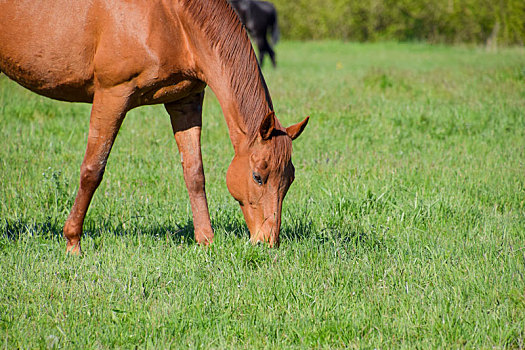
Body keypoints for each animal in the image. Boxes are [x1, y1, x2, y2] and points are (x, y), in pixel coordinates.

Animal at [0, 0, 308, 253]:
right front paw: (73, 242)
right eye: (258, 177)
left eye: (290, 179)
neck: (170, 16)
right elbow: (92, 170)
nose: (267, 242)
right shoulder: (111, 95)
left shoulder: (185, 101)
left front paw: (206, 241)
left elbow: (194, 173)